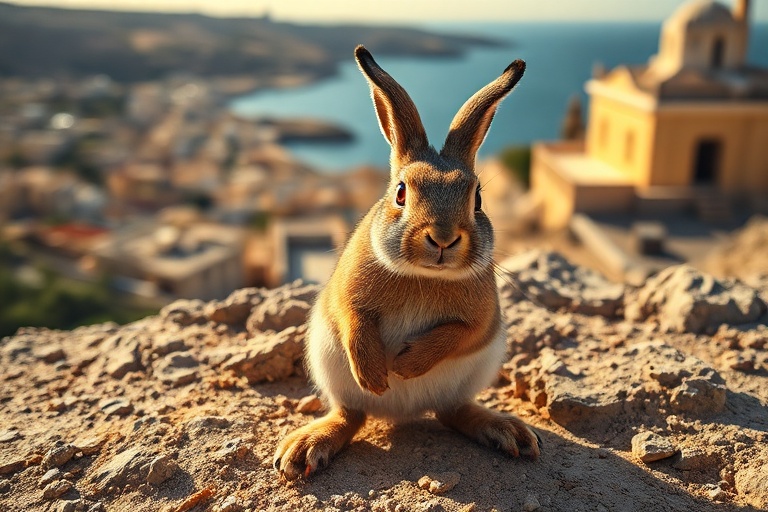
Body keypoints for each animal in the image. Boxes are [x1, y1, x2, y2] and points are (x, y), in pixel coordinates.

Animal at [273, 45, 541, 480]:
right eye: (401, 193)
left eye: (477, 199)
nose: (443, 238)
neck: (424, 275)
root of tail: (404, 412)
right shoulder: (346, 298)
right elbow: (352, 319)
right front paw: (376, 373)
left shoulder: (484, 319)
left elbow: (461, 332)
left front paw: (406, 365)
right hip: (330, 367)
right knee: (351, 414)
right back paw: (307, 446)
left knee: (454, 411)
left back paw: (506, 431)